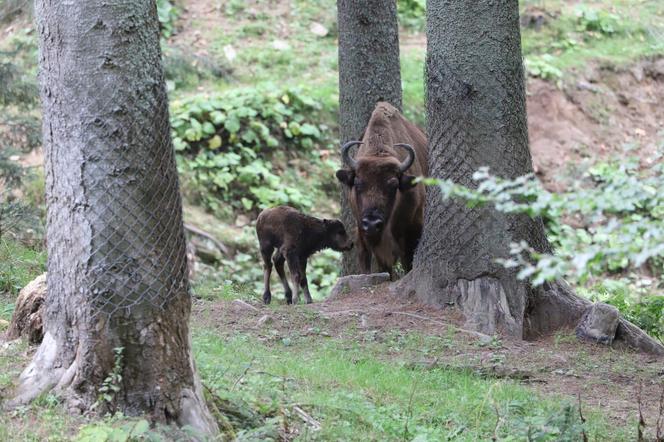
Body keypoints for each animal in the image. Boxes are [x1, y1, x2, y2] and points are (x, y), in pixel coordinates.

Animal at [338, 102, 426, 276]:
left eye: (393, 185)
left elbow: (408, 263)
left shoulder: (412, 230)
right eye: (357, 183)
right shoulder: (363, 234)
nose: (372, 224)